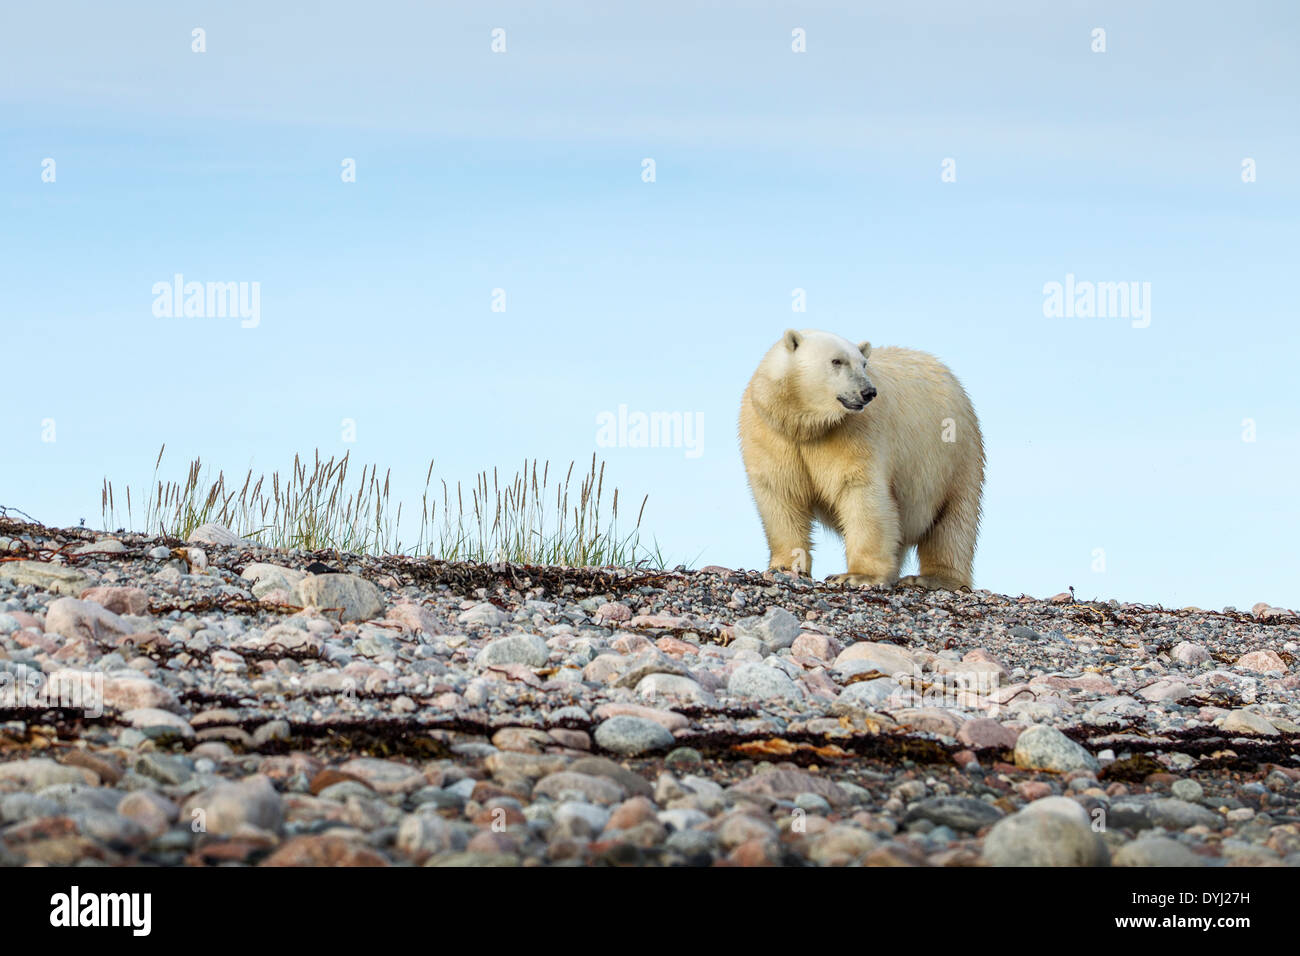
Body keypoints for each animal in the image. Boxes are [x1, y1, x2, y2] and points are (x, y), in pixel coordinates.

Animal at [743, 332, 982, 595]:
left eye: (864, 364)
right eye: (837, 361)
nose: (868, 392)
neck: (806, 426)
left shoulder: (854, 433)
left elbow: (861, 493)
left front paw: (856, 576)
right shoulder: (771, 431)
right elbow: (780, 493)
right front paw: (785, 566)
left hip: (955, 457)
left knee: (953, 520)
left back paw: (933, 578)